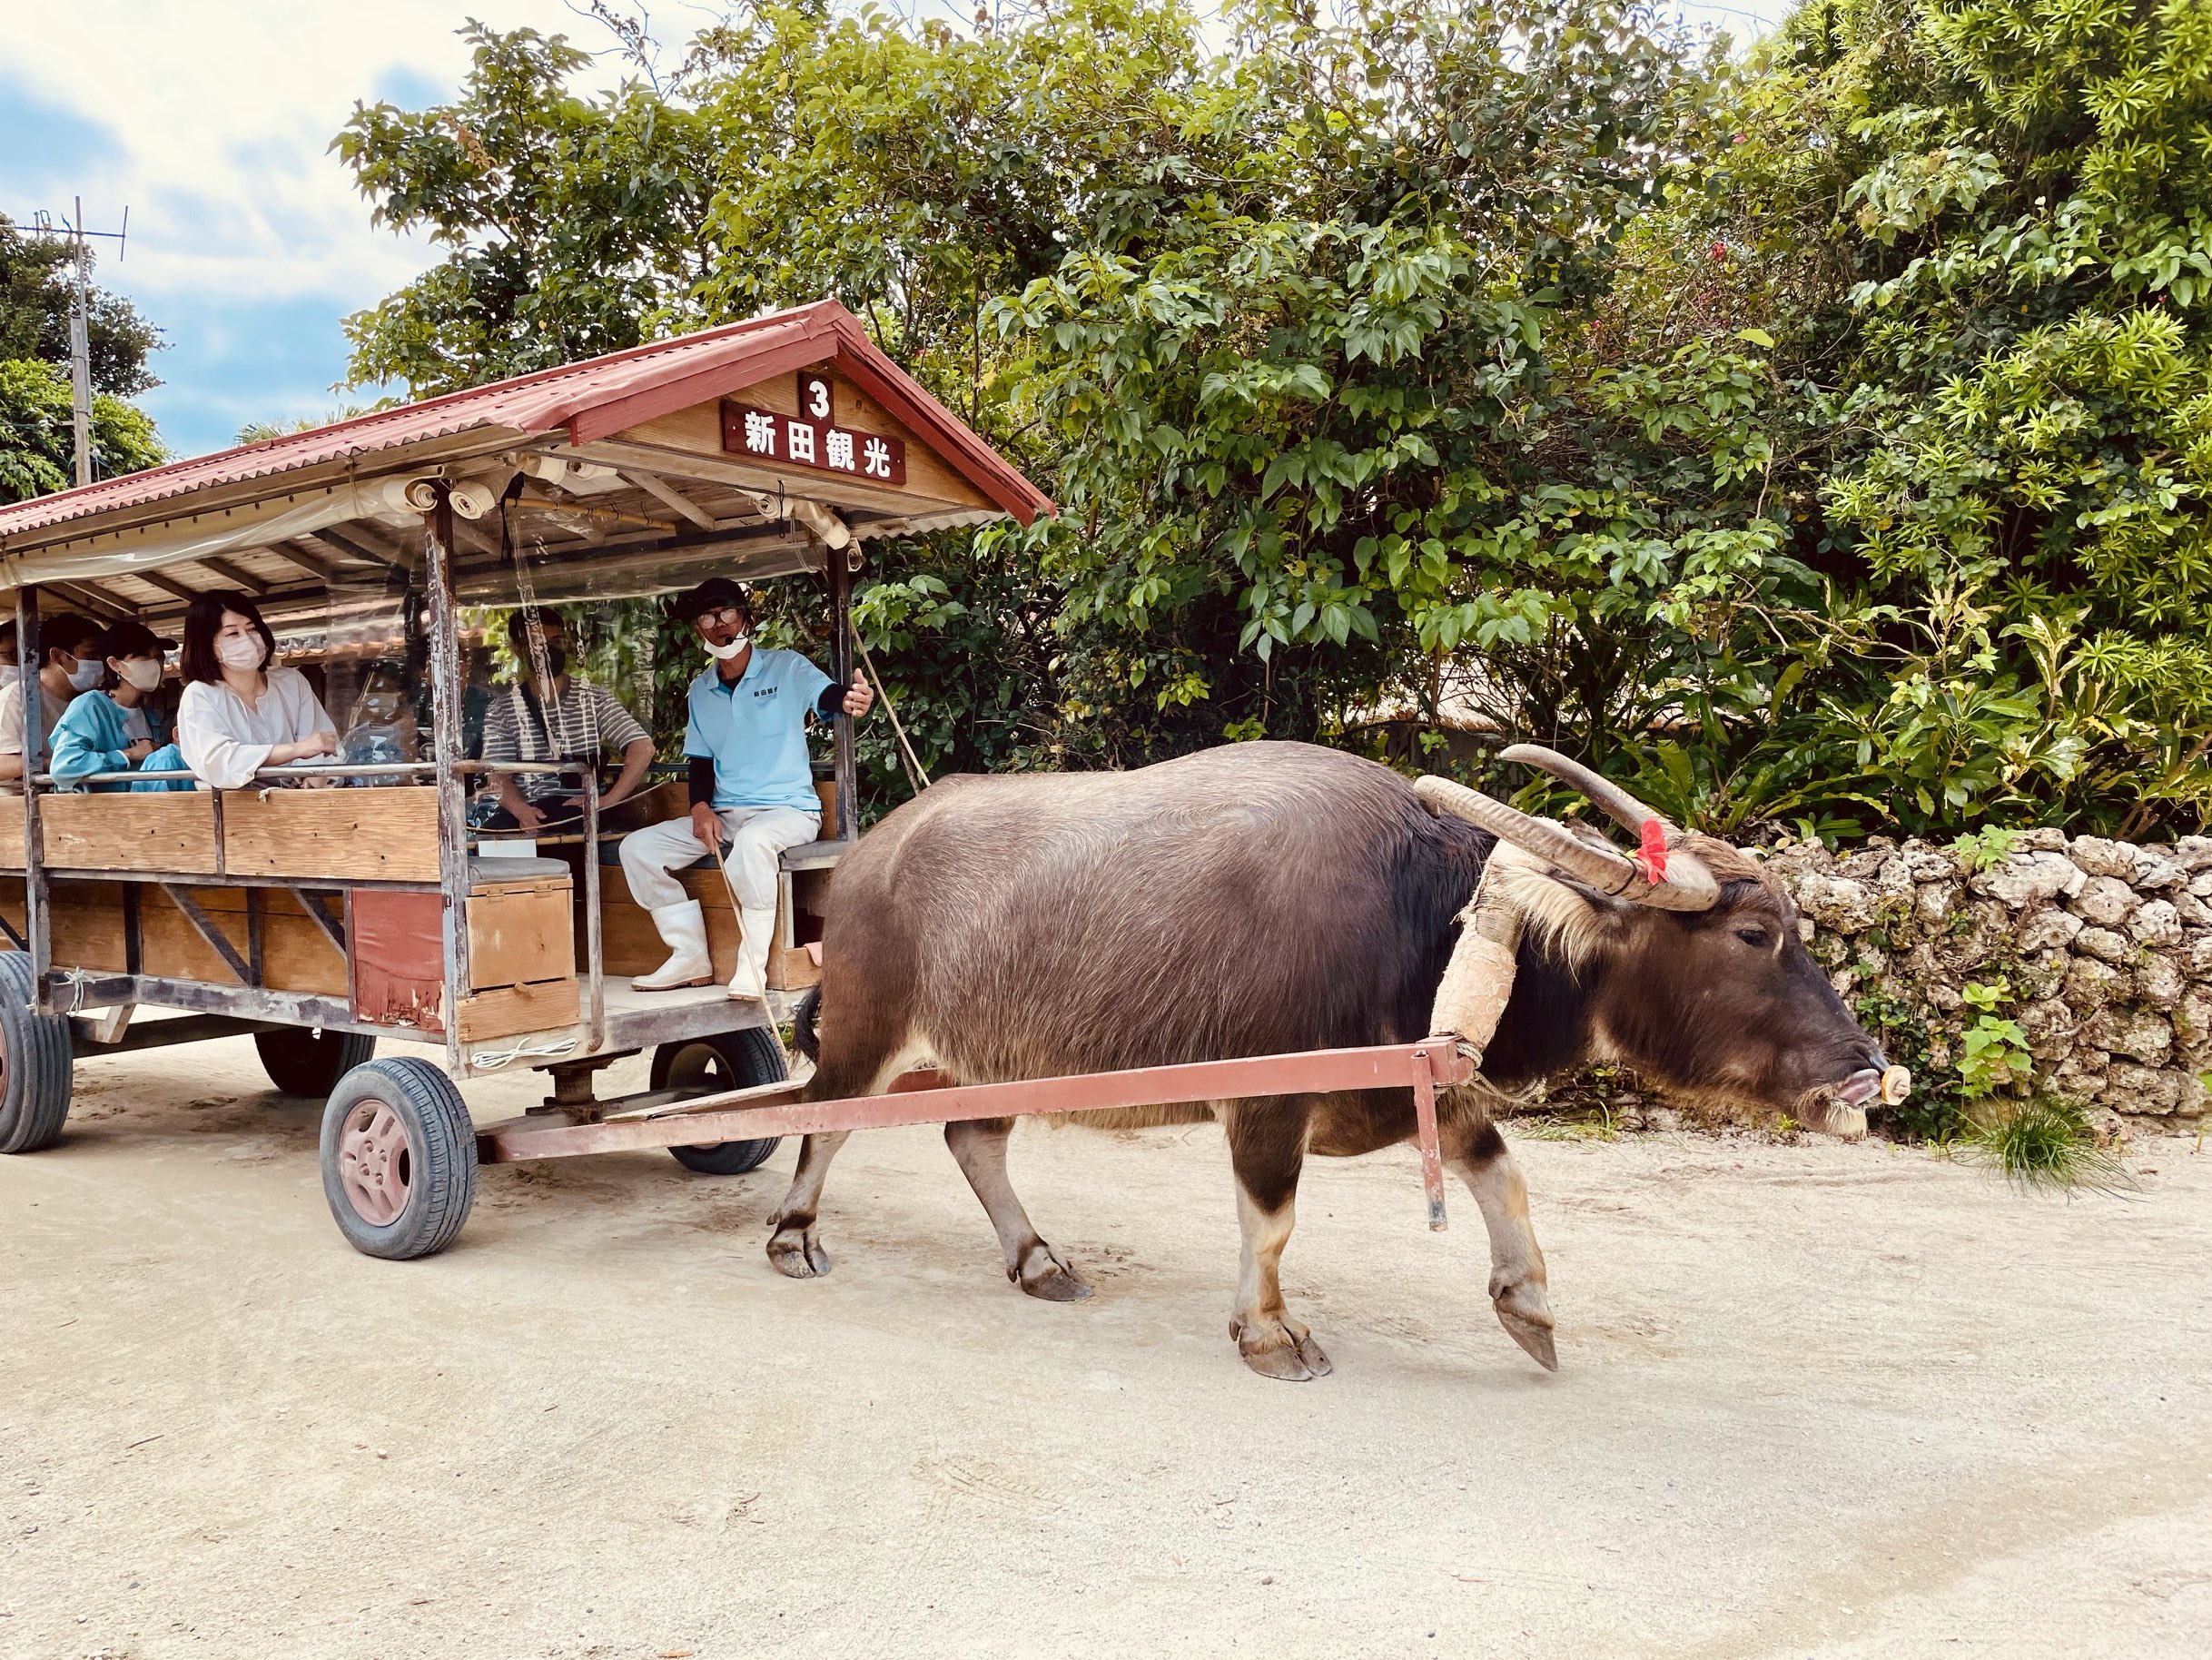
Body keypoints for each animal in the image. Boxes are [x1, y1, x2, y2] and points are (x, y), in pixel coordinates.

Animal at [769, 739, 1893, 1380]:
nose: (1865, 1070)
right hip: (868, 1029)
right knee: (820, 1119)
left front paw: (1527, 1306)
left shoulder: (1426, 1089)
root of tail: (870, 853)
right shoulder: (1265, 1103)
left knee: (972, 1137)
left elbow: (1506, 1179)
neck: (1423, 919)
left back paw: (1039, 1260)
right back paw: (793, 1236)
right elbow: (1271, 1222)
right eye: (1753, 934)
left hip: (991, 1058)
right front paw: (1269, 1337)